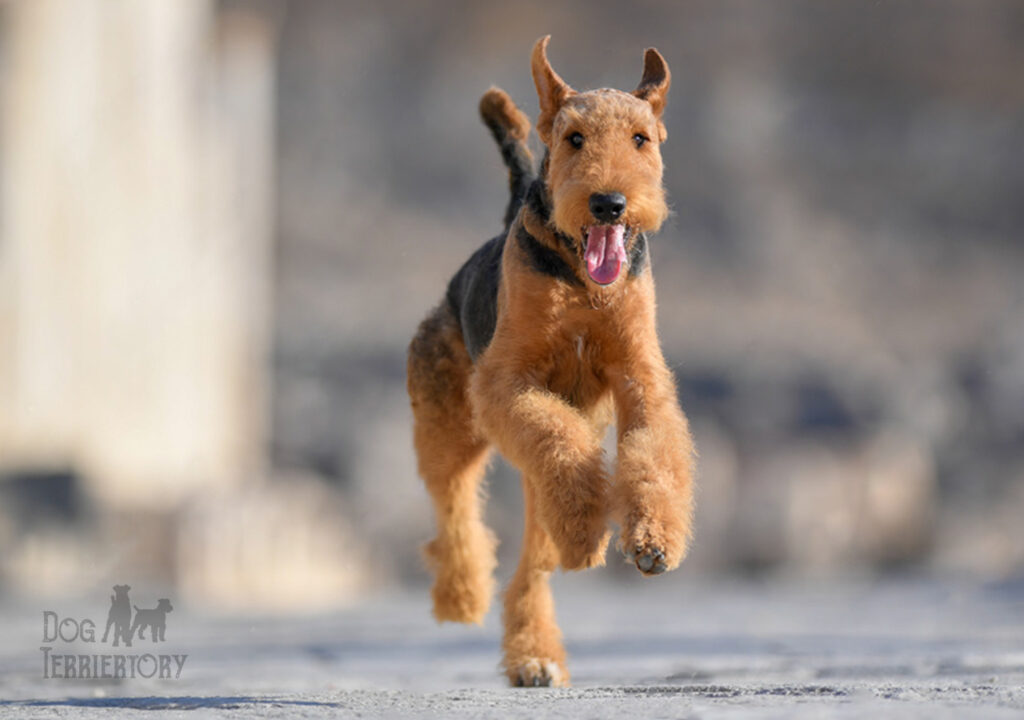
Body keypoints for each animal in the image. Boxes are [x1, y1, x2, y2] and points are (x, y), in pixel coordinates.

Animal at [407, 35, 696, 688]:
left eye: (641, 138)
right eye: (575, 138)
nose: (609, 203)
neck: (582, 283)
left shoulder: (641, 378)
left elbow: (654, 452)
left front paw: (653, 542)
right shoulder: (505, 384)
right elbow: (554, 440)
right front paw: (598, 528)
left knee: (537, 551)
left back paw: (538, 643)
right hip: (449, 423)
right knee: (456, 511)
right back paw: (467, 594)